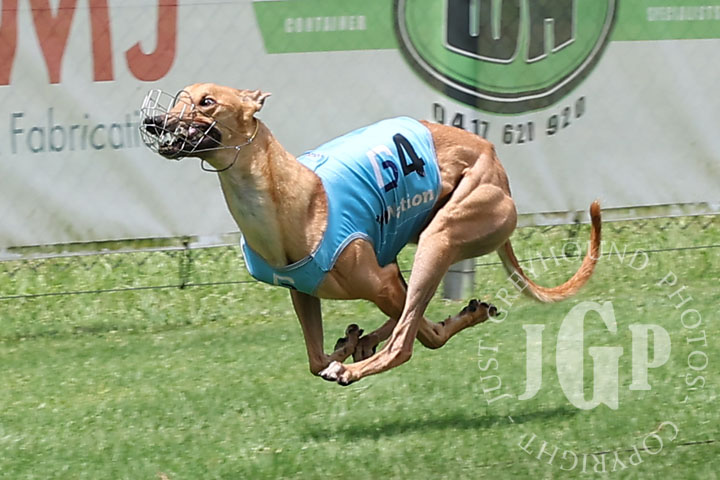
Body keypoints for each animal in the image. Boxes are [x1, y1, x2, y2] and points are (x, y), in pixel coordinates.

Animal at [140, 83, 601, 386]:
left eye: (207, 101)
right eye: (179, 98)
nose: (152, 121)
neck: (289, 199)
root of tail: (495, 159)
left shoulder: (381, 280)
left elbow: (417, 332)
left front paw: (349, 358)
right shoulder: (302, 290)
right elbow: (315, 358)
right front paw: (345, 346)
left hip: (441, 236)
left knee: (410, 339)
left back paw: (364, 360)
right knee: (408, 318)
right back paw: (363, 343)